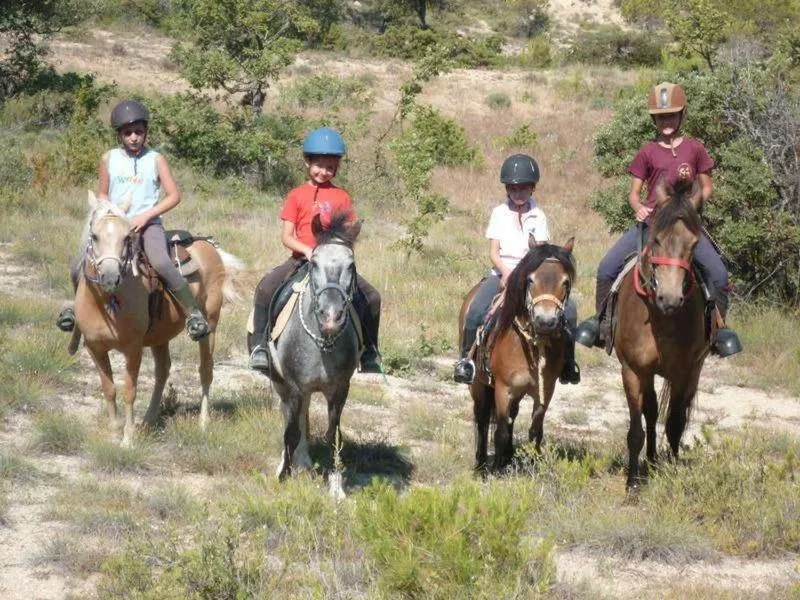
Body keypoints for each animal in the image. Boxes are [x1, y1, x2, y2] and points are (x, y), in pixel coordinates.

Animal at [73, 191, 241, 446]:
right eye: (94, 236)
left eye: (126, 237)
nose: (111, 278)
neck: (104, 303)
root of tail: (209, 245)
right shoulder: (94, 347)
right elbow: (109, 389)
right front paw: (114, 433)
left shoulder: (133, 349)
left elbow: (129, 391)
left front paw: (127, 439)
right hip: (160, 336)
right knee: (163, 371)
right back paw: (148, 420)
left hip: (210, 325)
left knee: (206, 370)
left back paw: (203, 422)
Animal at [248, 211, 362, 492]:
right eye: (315, 264)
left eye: (351, 265)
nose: (331, 317)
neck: (323, 342)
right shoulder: (294, 385)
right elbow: (291, 432)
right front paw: (283, 476)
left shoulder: (340, 390)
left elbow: (334, 435)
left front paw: (336, 486)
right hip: (282, 385)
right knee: (291, 418)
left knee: (303, 417)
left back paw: (304, 461)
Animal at [459, 238, 576, 472]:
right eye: (530, 279)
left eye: (565, 282)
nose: (545, 321)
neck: (531, 344)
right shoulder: (503, 389)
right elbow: (500, 431)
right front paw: (496, 471)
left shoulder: (544, 391)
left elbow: (535, 432)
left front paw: (532, 466)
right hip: (478, 385)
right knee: (482, 419)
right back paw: (481, 464)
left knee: (511, 416)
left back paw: (508, 457)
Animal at [613, 179, 709, 492]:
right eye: (655, 240)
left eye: (694, 244)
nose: (670, 299)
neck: (660, 318)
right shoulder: (632, 371)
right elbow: (636, 428)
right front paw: (633, 483)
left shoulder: (682, 372)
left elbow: (675, 424)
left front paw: (673, 471)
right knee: (651, 412)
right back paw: (651, 461)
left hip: (695, 370)